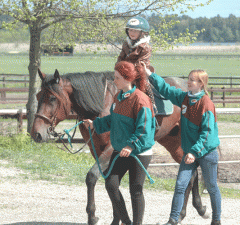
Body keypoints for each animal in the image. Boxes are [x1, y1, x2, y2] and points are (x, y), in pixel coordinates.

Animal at [31, 68, 208, 225]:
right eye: (38, 96)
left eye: (52, 98)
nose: (36, 134)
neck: (103, 105)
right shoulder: (98, 150)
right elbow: (109, 182)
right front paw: (116, 218)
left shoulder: (110, 149)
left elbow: (92, 177)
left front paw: (92, 216)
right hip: (174, 144)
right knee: (191, 173)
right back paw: (188, 213)